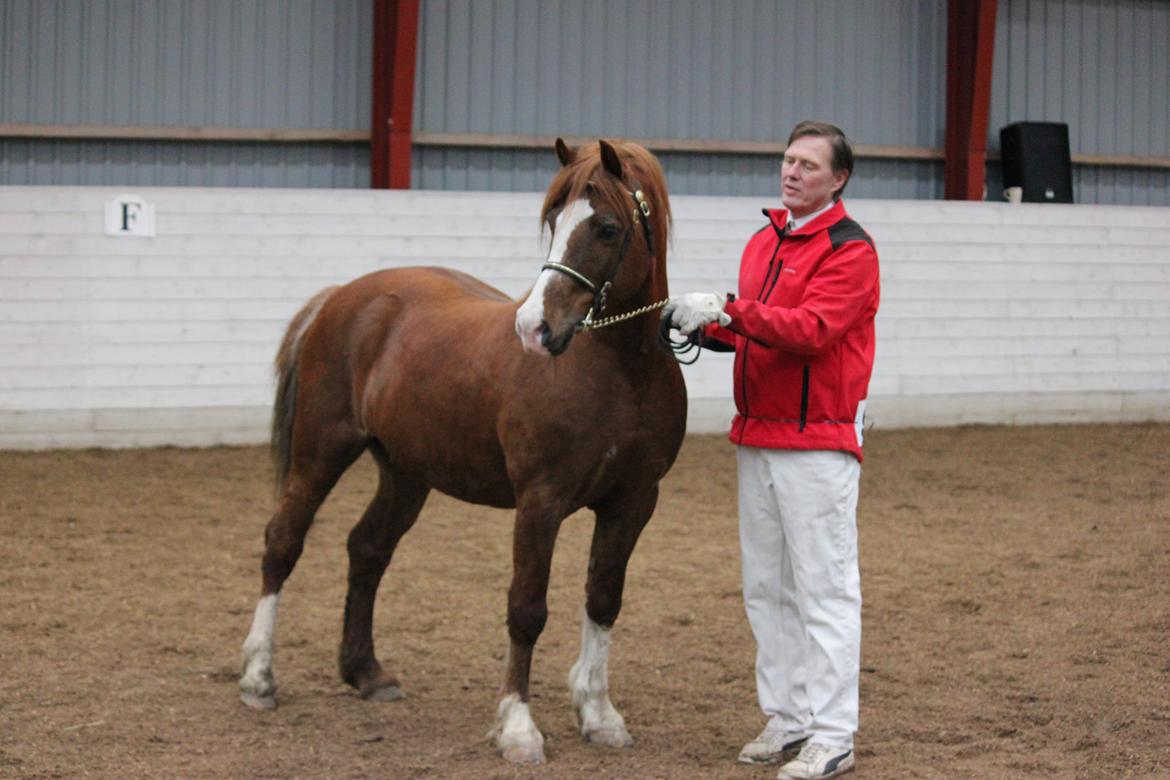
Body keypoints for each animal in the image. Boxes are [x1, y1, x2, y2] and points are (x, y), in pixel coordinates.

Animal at [238, 138, 687, 762]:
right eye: (554, 221)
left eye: (607, 228)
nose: (534, 329)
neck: (621, 373)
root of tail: (343, 298)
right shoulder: (540, 501)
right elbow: (527, 608)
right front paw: (518, 728)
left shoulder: (633, 502)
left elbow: (602, 600)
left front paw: (599, 716)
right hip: (321, 452)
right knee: (283, 542)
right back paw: (259, 678)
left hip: (406, 472)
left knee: (367, 549)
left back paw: (366, 673)